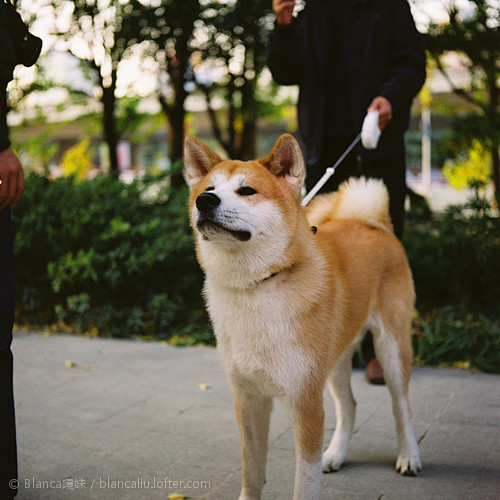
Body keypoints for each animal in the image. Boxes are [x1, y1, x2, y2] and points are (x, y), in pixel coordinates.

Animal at [184, 134, 422, 500]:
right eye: (208, 188)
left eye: (247, 191)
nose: (205, 201)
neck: (256, 287)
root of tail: (371, 223)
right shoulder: (248, 400)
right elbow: (251, 470)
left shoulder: (306, 403)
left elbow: (304, 483)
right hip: (334, 360)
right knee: (350, 405)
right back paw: (335, 454)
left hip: (391, 350)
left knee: (402, 407)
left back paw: (409, 455)